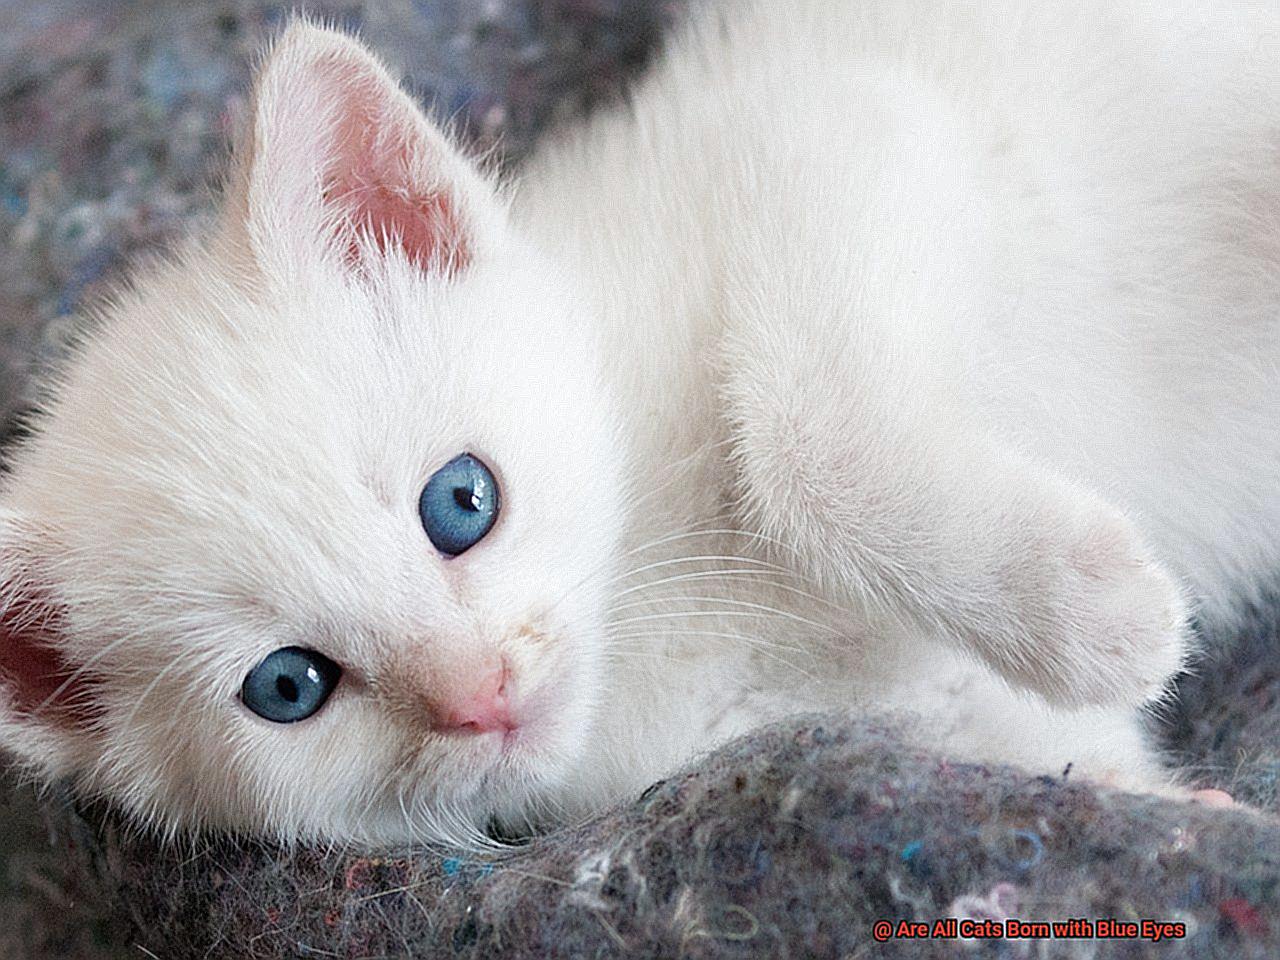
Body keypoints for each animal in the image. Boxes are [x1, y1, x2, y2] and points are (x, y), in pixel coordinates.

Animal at [0, 0, 1269, 839]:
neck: (643, 615)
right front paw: (1196, 805)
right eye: (287, 689)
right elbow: (1058, 768)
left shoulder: (841, 132)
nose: (480, 696)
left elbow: (805, 437)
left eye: (460, 503)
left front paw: (1097, 613)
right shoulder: (897, 715)